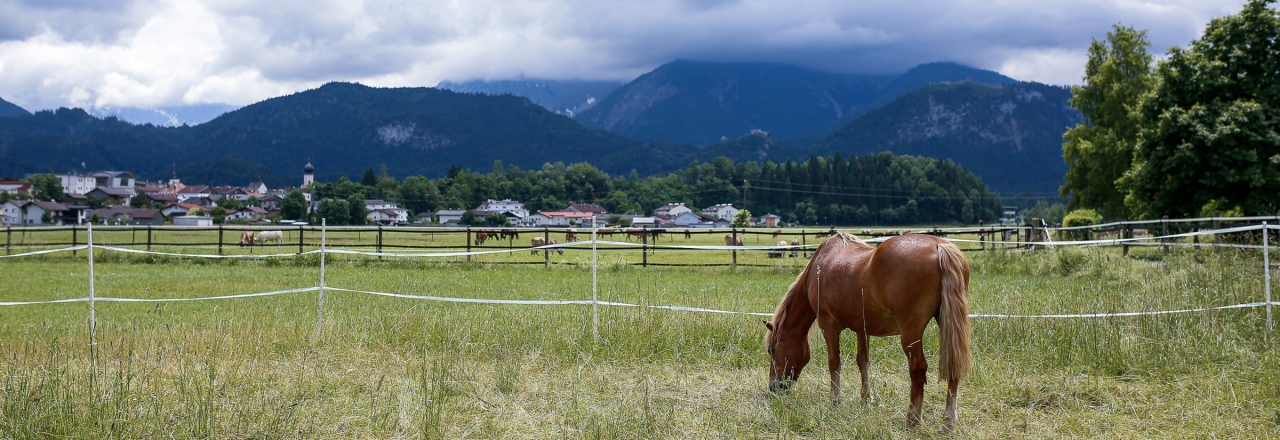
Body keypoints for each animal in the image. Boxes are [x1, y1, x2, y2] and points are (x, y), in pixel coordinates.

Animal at [757, 234, 967, 429]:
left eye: (771, 350)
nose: (774, 388)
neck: (818, 267)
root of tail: (939, 245)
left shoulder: (829, 328)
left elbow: (834, 362)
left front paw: (835, 402)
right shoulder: (862, 328)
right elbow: (863, 361)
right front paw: (866, 399)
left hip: (911, 333)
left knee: (918, 368)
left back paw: (912, 419)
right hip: (948, 326)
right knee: (953, 366)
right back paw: (948, 421)